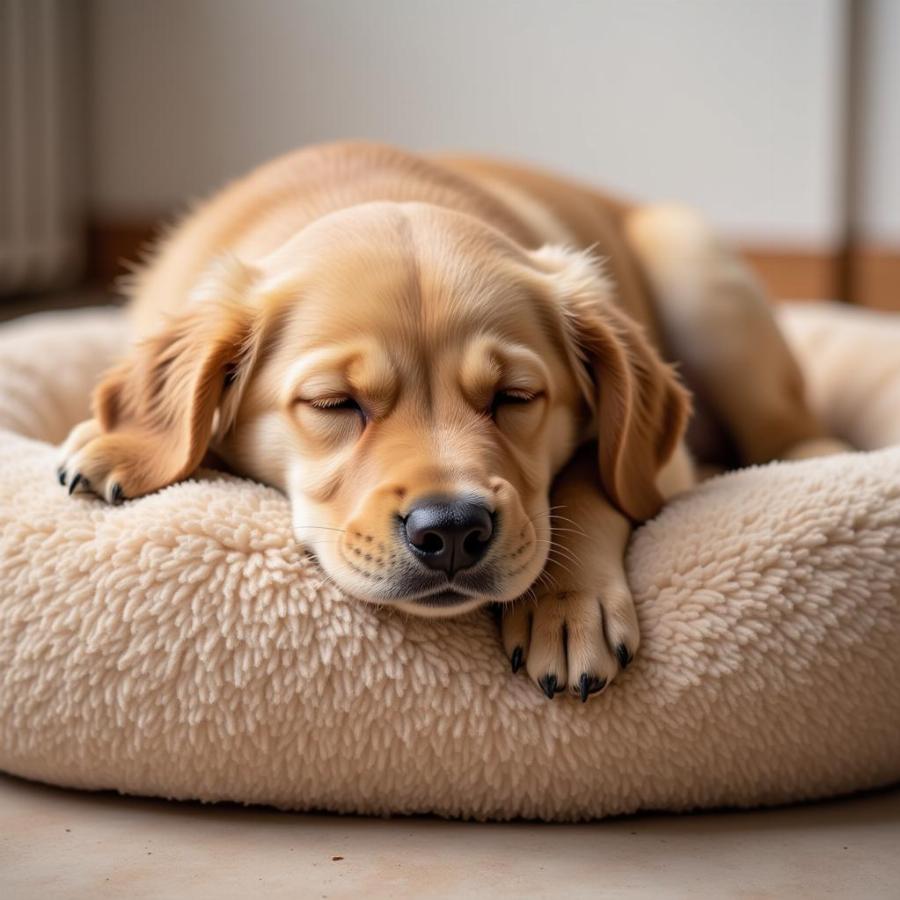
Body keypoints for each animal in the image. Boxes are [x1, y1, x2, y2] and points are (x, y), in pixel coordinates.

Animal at [56, 142, 844, 704]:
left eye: (517, 397)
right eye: (335, 403)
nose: (454, 531)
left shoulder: (660, 462)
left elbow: (591, 483)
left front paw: (568, 606)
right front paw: (110, 441)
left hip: (702, 276)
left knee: (791, 429)